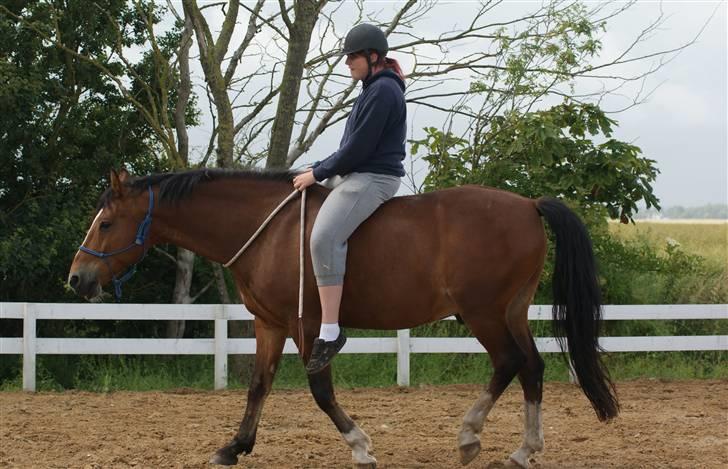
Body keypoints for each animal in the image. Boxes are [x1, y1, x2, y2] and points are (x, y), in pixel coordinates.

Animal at [68, 168, 616, 468]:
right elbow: (258, 386)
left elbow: (320, 390)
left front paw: (360, 446)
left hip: (483, 313)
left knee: (508, 363)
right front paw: (235, 446)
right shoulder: (269, 324)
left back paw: (470, 437)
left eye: (107, 222)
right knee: (531, 367)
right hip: (511, 309)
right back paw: (524, 449)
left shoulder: (308, 327)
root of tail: (527, 204)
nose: (77, 279)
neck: (268, 229)